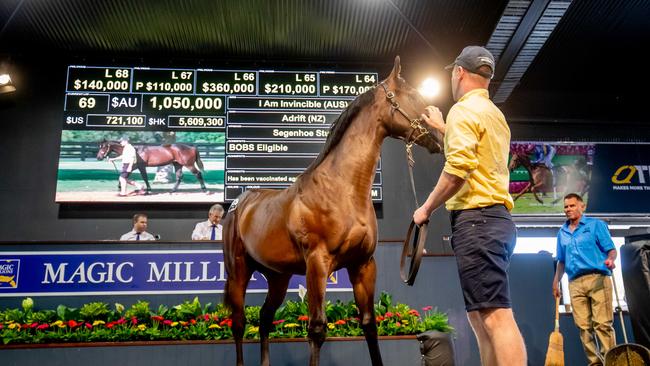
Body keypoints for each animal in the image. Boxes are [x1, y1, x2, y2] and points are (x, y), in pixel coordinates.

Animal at [221, 55, 440, 366]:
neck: (342, 190)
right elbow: (316, 329)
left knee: (264, 318)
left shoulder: (363, 265)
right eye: (413, 96)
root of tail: (239, 205)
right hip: (238, 271)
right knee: (239, 323)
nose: (438, 136)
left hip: (278, 276)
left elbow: (369, 325)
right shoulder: (317, 263)